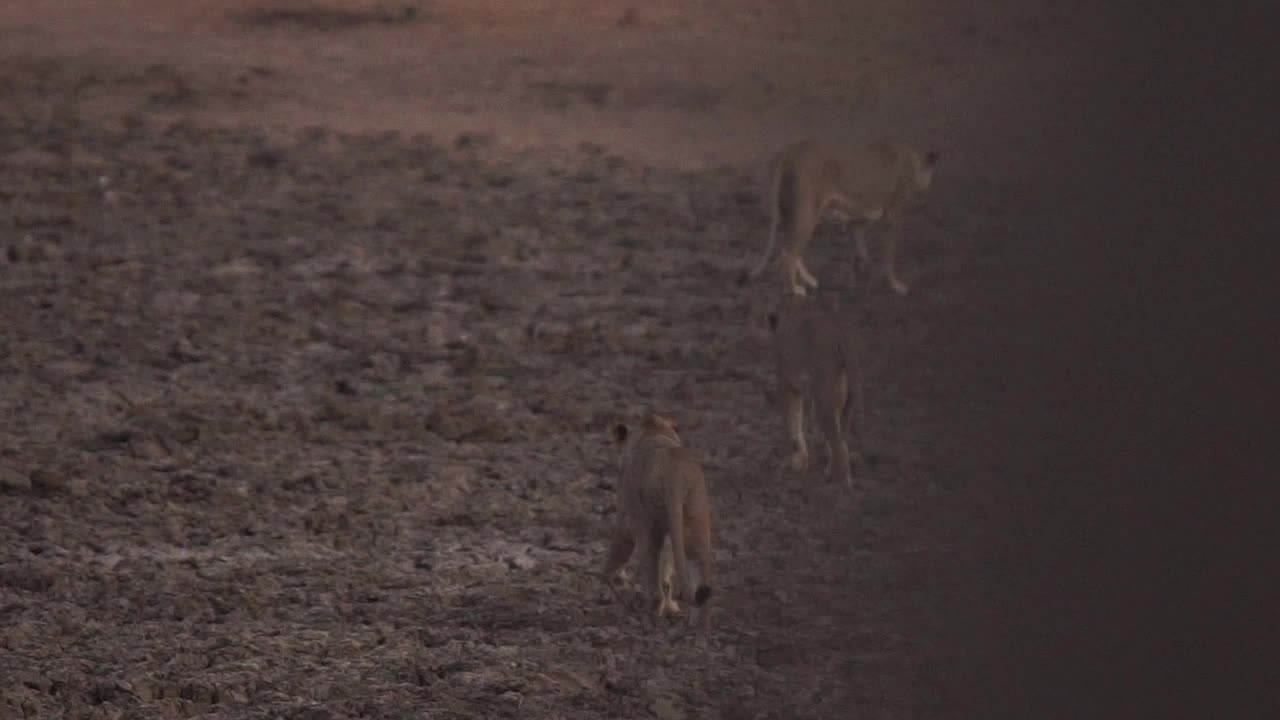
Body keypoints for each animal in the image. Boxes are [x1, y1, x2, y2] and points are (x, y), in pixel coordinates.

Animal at [601, 412, 716, 625]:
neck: (653, 430)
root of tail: (675, 473)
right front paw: (671, 608)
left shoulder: (629, 515)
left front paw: (613, 580)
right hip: (695, 517)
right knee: (701, 566)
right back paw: (700, 623)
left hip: (649, 522)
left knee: (653, 577)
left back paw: (648, 612)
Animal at [747, 137, 942, 294]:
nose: (924, 203)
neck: (913, 163)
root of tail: (791, 150)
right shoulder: (894, 218)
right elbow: (889, 256)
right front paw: (896, 286)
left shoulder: (856, 223)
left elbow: (861, 253)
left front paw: (861, 279)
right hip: (806, 213)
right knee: (788, 254)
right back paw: (793, 290)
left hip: (796, 214)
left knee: (792, 251)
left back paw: (810, 281)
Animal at [768, 292, 870, 486]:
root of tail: (839, 324)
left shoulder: (786, 382)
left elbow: (791, 420)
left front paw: (796, 461)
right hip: (848, 390)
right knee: (842, 437)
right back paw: (834, 474)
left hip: (826, 390)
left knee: (839, 446)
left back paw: (838, 485)